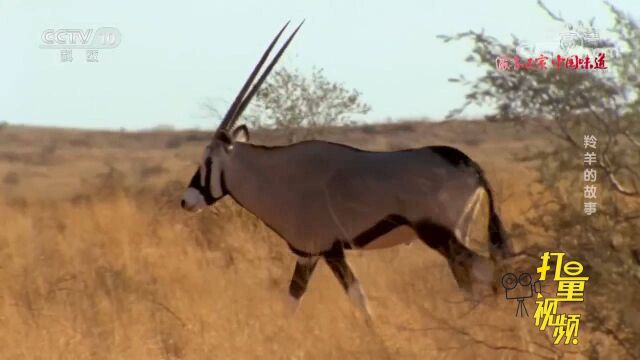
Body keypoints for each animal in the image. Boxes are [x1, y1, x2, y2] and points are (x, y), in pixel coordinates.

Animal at [180, 21, 510, 314]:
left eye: (207, 161)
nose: (186, 201)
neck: (279, 175)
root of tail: (470, 166)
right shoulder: (309, 254)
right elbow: (293, 297)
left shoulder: (330, 250)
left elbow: (357, 296)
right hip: (452, 236)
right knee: (471, 275)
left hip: (441, 234)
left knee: (482, 269)